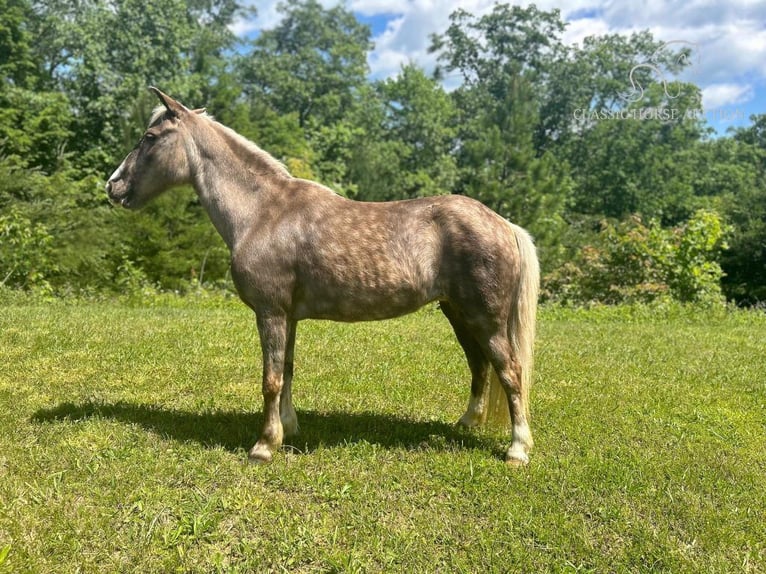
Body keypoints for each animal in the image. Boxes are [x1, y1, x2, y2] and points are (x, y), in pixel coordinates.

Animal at [106, 89, 540, 468]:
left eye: (149, 138)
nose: (112, 185)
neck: (262, 212)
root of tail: (504, 224)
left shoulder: (270, 313)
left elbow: (270, 378)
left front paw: (264, 446)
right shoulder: (289, 316)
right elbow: (287, 371)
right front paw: (288, 429)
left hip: (485, 319)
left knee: (510, 372)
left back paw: (517, 450)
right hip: (458, 314)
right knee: (480, 367)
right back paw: (466, 425)